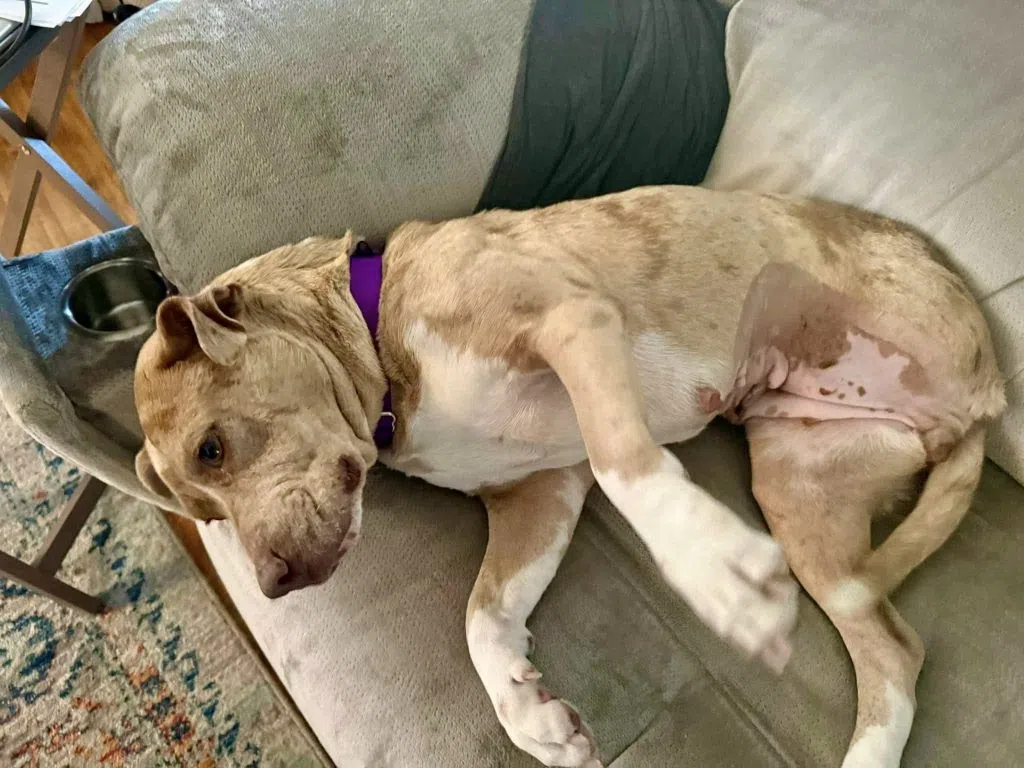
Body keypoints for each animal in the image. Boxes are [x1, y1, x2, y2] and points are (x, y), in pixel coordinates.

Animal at [132, 186, 1004, 768]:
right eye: (206, 515)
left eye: (211, 448)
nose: (272, 584)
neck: (381, 339)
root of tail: (985, 397)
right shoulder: (539, 493)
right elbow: (482, 616)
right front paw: (529, 713)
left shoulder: (572, 322)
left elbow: (627, 464)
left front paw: (710, 569)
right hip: (800, 488)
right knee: (893, 651)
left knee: (889, 649)